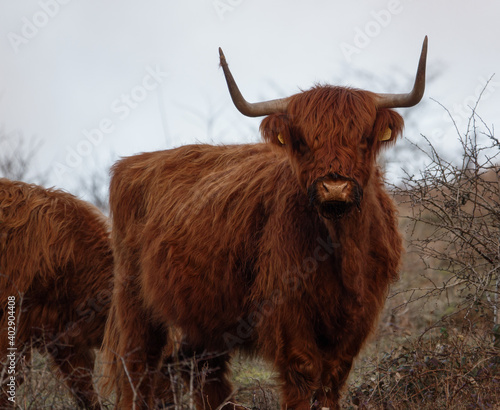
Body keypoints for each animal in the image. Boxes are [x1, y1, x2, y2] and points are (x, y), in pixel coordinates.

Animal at [102, 36, 430, 408]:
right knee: (137, 369)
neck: (342, 249)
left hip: (203, 318)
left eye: (363, 138)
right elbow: (304, 373)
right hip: (135, 304)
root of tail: (134, 163)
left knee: (201, 370)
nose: (334, 187)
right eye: (302, 142)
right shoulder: (287, 311)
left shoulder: (359, 315)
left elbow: (333, 378)